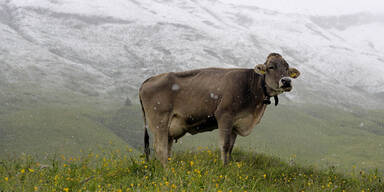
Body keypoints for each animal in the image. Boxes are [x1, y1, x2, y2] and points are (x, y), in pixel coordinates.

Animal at [138, 53, 300, 165]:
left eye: (287, 68)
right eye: (271, 67)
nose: (286, 81)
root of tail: (149, 79)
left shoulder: (236, 123)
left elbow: (231, 148)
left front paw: (227, 166)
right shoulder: (225, 115)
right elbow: (225, 145)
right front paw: (223, 167)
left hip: (169, 128)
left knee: (167, 148)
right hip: (159, 121)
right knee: (160, 148)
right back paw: (168, 172)